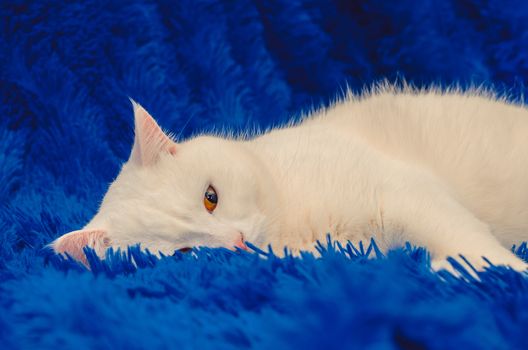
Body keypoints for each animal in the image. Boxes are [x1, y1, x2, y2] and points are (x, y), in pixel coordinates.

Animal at [50, 86, 528, 272]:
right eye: (184, 253)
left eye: (210, 197)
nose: (237, 242)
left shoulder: (406, 193)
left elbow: (462, 235)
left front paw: (496, 269)